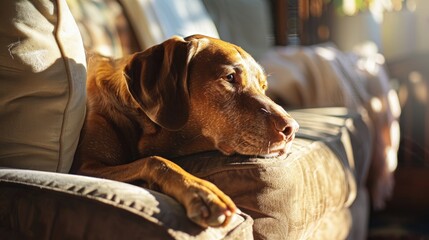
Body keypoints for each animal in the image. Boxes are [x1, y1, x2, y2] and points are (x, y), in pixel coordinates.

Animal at [71, 34, 298, 228]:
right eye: (230, 77)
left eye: (263, 86)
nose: (292, 128)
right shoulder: (85, 168)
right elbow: (156, 160)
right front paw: (202, 192)